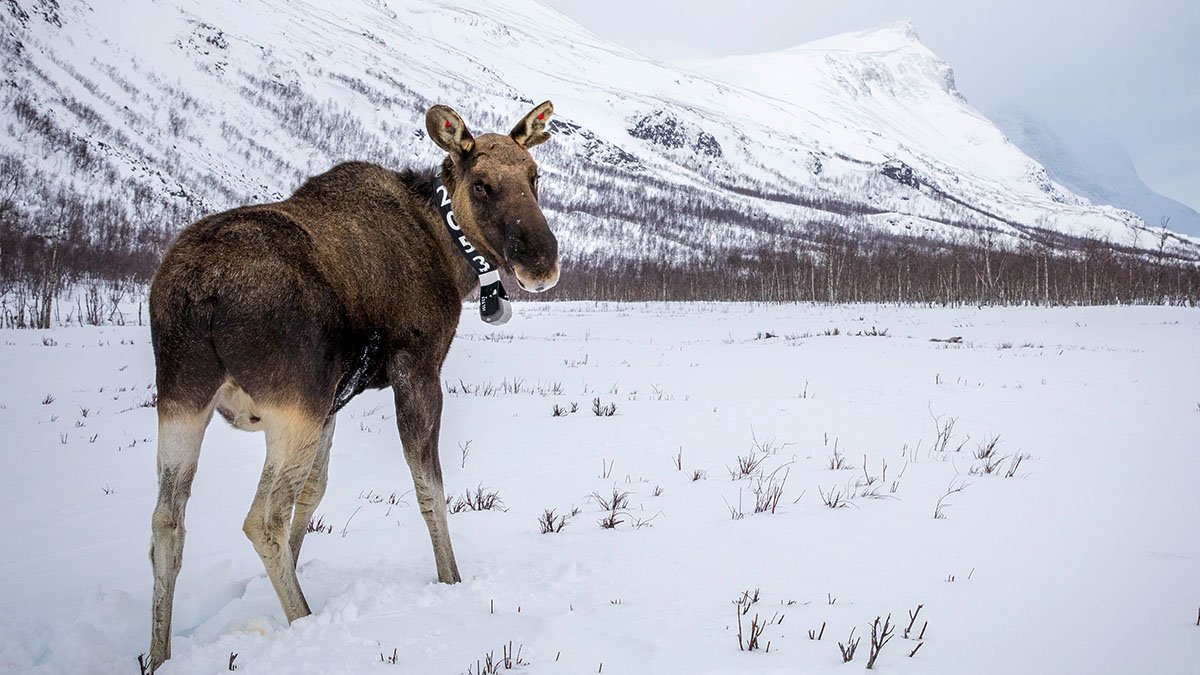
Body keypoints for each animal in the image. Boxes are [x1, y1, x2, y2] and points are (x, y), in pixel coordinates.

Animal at [147, 99, 559, 667]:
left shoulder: (331, 405)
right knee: (262, 519)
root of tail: (198, 296)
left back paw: (158, 655)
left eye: (534, 175)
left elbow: (313, 494)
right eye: (482, 184)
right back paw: (303, 621)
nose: (542, 261)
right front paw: (451, 581)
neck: (448, 254)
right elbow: (429, 487)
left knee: (168, 521)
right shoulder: (416, 368)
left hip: (182, 396)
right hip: (291, 403)